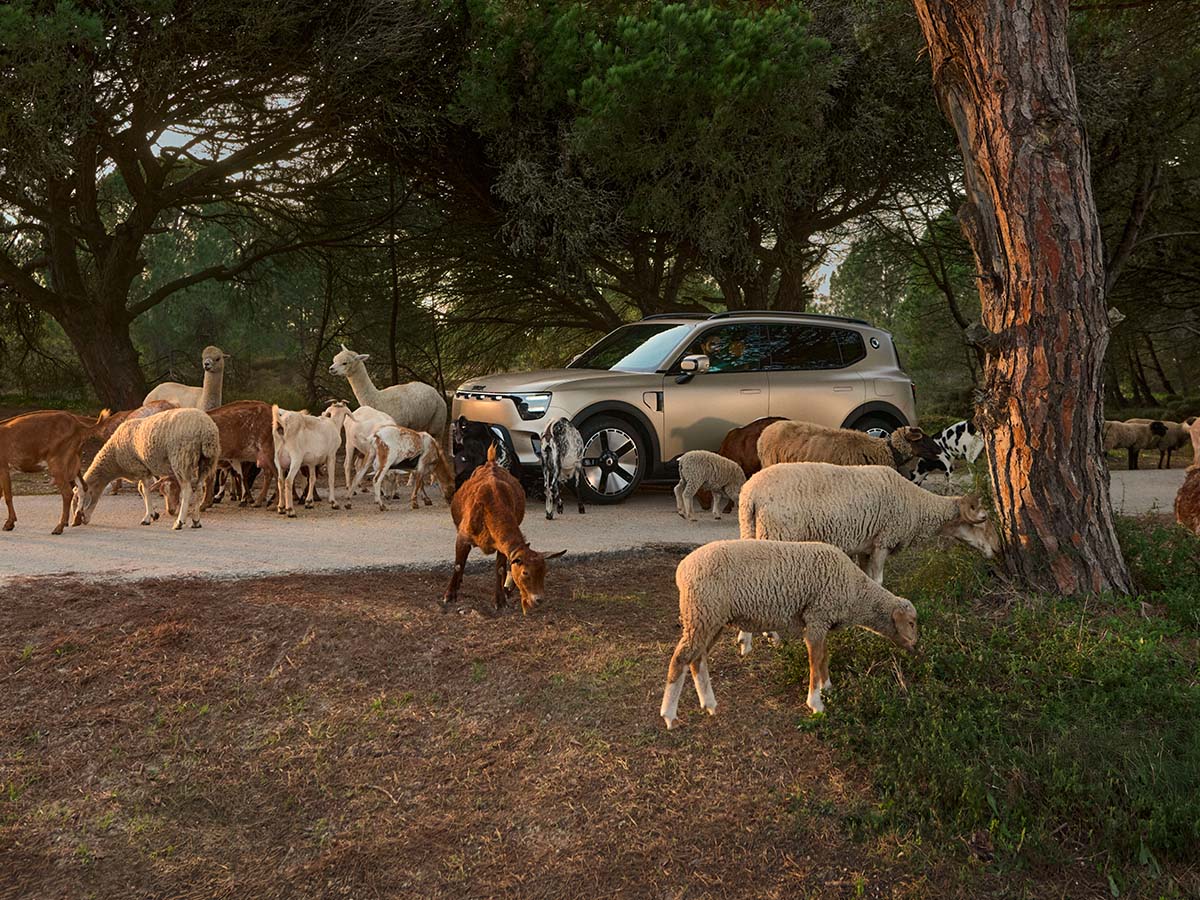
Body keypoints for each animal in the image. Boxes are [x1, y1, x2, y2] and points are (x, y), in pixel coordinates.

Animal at [72, 408, 219, 530]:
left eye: (78, 498)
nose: (76, 522)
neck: (114, 459)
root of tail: (206, 429)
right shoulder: (146, 469)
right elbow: (142, 489)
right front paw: (154, 514)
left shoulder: (139, 468)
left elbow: (145, 490)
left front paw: (147, 518)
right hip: (207, 461)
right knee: (199, 489)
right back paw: (196, 521)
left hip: (181, 459)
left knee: (187, 490)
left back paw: (179, 522)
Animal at [443, 444, 565, 612]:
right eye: (525, 572)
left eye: (545, 571)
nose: (539, 599)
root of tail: (491, 461)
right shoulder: (463, 536)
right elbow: (457, 565)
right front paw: (449, 595)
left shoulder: (501, 546)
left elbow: (500, 568)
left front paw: (500, 600)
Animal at [659, 540, 918, 728]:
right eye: (912, 623)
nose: (916, 648)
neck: (856, 593)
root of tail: (682, 570)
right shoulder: (817, 617)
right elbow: (815, 660)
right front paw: (815, 703)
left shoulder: (822, 621)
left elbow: (824, 656)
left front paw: (827, 687)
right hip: (701, 613)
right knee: (681, 659)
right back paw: (669, 716)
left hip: (711, 619)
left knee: (697, 659)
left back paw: (709, 704)